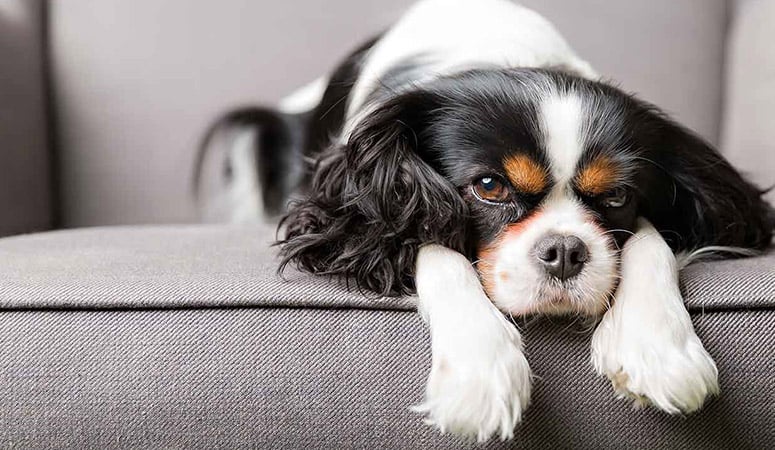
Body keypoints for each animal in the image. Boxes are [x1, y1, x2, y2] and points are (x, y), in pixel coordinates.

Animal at [194, 0, 768, 442]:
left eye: (618, 197)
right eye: (489, 187)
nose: (565, 251)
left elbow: (650, 242)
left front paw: (657, 345)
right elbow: (432, 244)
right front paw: (480, 373)